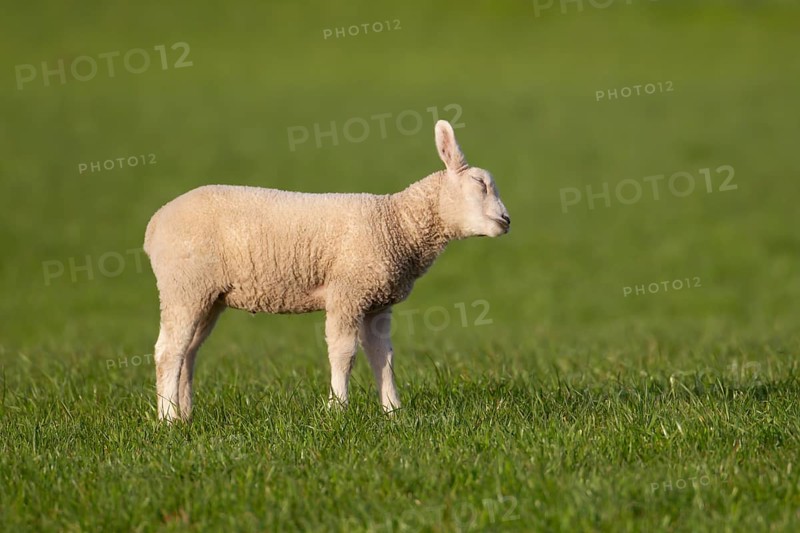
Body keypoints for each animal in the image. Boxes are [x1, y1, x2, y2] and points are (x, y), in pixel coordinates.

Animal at [143, 120, 510, 422]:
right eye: (480, 185)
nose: (506, 221)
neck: (397, 223)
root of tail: (155, 223)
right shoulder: (346, 293)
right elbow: (343, 353)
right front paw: (337, 409)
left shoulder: (376, 302)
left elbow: (383, 357)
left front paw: (393, 411)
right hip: (184, 286)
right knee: (168, 351)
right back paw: (167, 419)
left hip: (208, 295)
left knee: (189, 351)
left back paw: (185, 414)